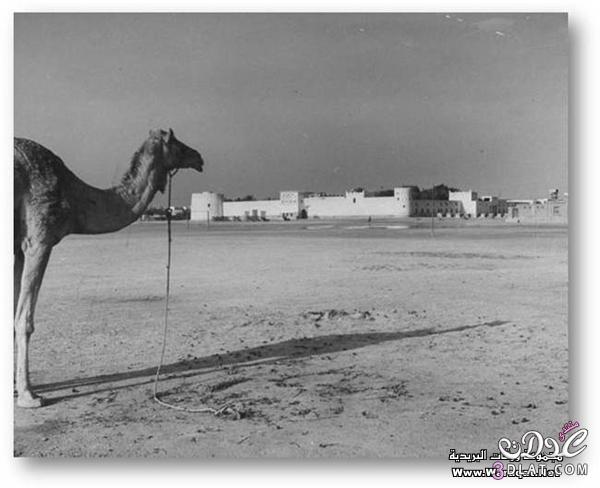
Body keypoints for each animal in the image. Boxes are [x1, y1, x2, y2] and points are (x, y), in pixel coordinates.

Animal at [13, 127, 204, 406]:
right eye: (178, 144)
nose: (199, 157)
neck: (75, 196)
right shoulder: (39, 240)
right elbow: (24, 319)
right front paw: (28, 395)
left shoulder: (17, 247)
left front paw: (14, 387)